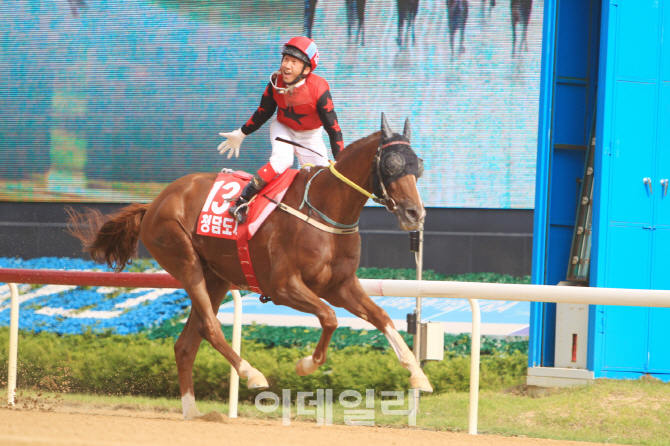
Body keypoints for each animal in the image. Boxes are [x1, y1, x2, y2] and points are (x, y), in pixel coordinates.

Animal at [68, 113, 434, 420]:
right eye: (391, 164)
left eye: (417, 166)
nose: (415, 213)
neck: (324, 210)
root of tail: (155, 202)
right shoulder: (283, 286)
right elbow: (330, 318)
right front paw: (306, 365)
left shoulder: (340, 285)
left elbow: (382, 316)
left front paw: (418, 375)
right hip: (184, 260)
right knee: (210, 328)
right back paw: (251, 373)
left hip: (216, 277)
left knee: (187, 343)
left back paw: (192, 410)